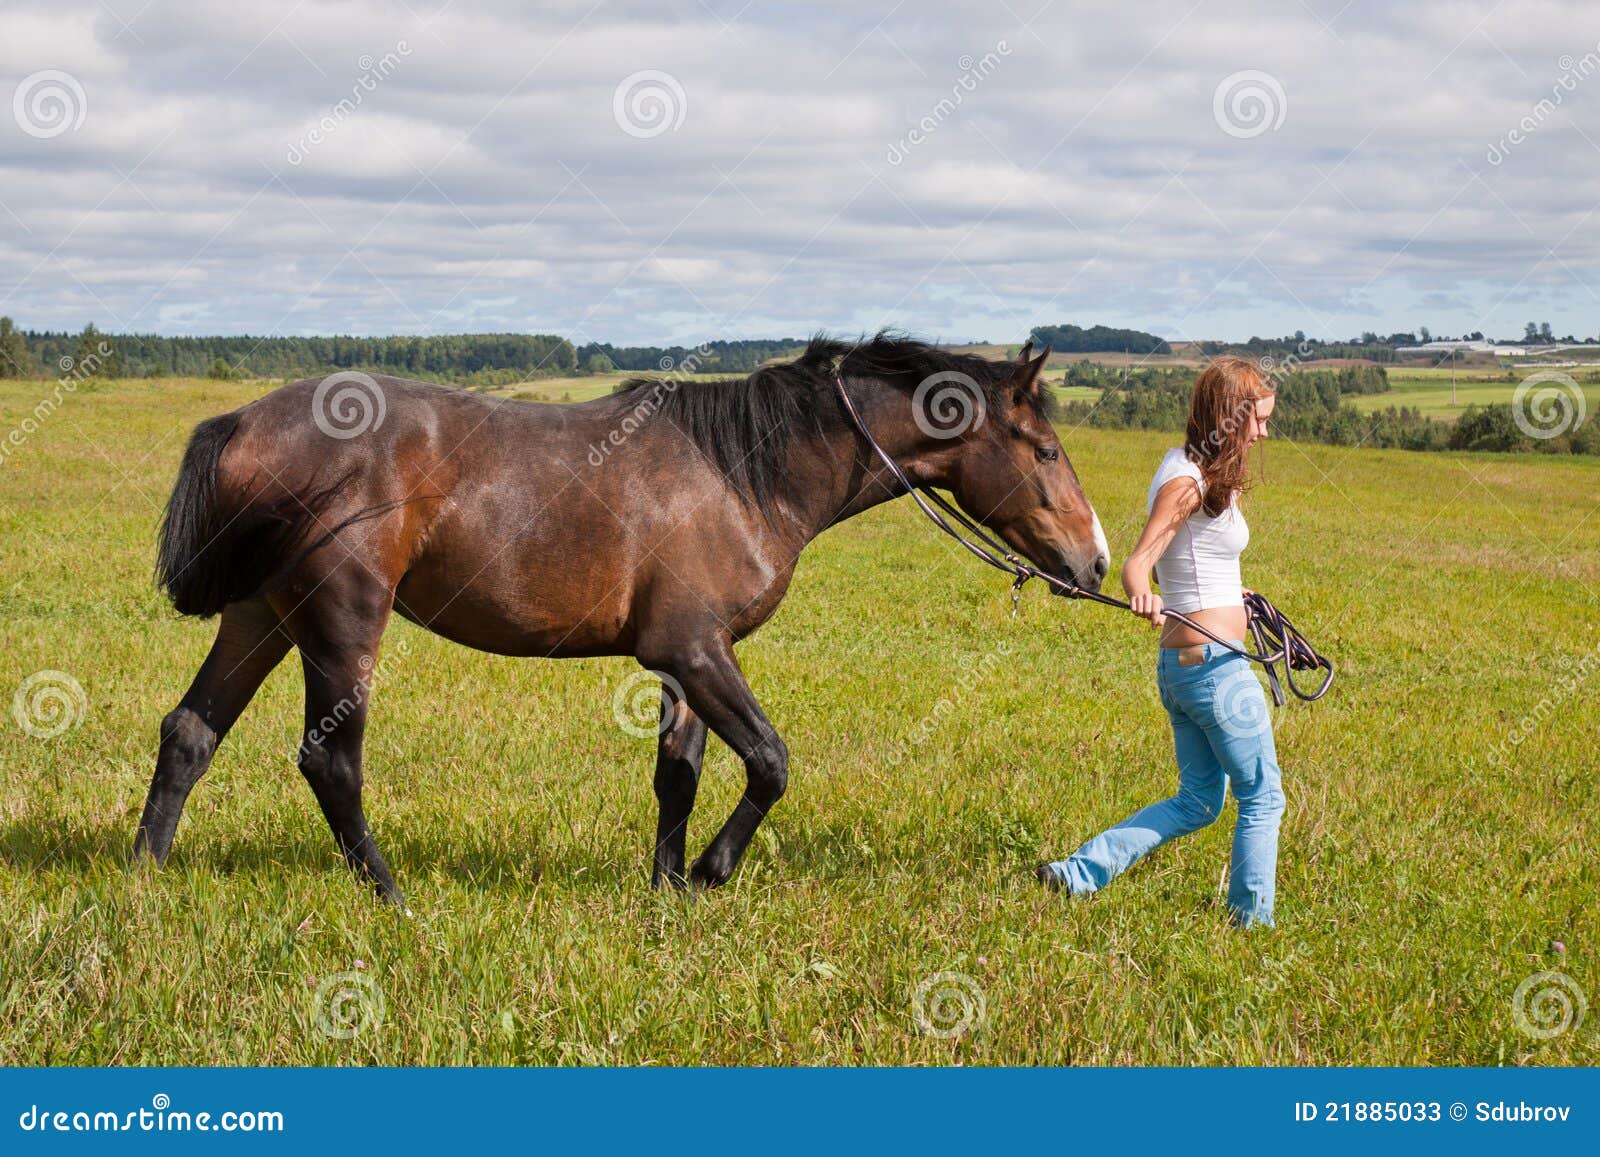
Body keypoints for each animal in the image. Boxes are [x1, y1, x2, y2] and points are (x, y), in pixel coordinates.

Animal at [133, 334, 1109, 903]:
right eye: (1044, 449)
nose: (1095, 561)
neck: (741, 470)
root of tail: (244, 419)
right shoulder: (696, 647)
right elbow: (771, 762)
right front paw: (711, 872)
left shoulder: (685, 662)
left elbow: (679, 776)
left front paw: (666, 888)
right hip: (340, 621)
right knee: (329, 761)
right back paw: (391, 895)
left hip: (262, 615)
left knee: (189, 732)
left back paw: (145, 875)